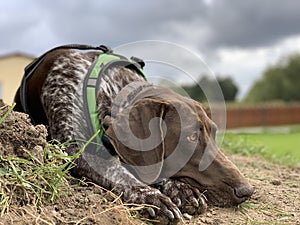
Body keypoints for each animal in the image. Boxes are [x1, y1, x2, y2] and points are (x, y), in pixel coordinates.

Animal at [14, 44, 253, 224]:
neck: (109, 88)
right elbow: (117, 171)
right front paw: (152, 197)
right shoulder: (76, 153)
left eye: (213, 133)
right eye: (191, 137)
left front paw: (181, 189)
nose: (247, 190)